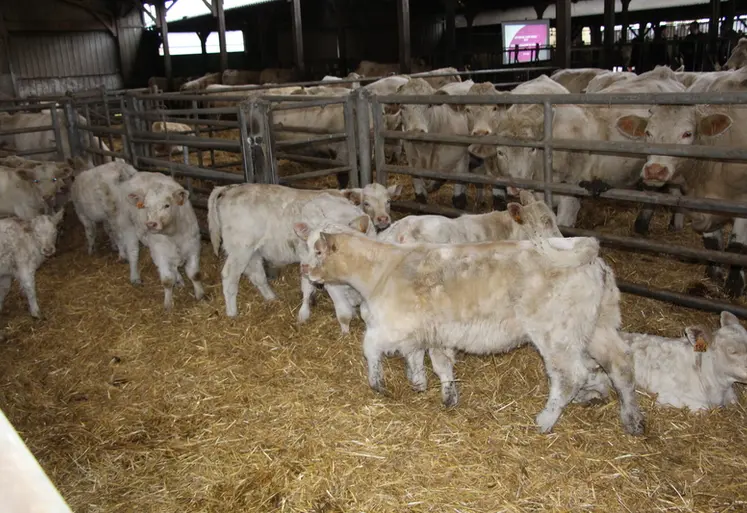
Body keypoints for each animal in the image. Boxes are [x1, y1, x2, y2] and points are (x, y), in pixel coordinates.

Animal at [297, 228, 645, 436]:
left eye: (319, 251)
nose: (303, 268)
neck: (383, 270)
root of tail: (587, 254)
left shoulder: (392, 326)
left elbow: (370, 347)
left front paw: (377, 383)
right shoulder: (430, 332)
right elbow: (431, 362)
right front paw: (434, 389)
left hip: (556, 336)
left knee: (570, 375)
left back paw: (545, 420)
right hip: (599, 327)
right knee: (621, 367)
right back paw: (631, 419)